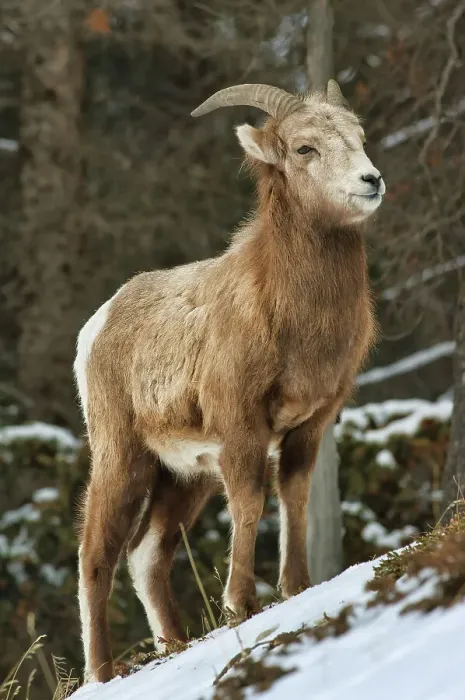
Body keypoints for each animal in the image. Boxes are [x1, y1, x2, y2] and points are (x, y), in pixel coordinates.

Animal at [74, 80, 385, 683]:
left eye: (358, 137)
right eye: (304, 148)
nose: (371, 180)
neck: (287, 311)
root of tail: (97, 326)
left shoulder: (309, 424)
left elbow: (292, 498)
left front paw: (296, 587)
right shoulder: (242, 427)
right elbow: (249, 503)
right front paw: (241, 604)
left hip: (184, 477)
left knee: (147, 555)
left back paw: (173, 644)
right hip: (124, 458)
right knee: (97, 554)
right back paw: (102, 673)